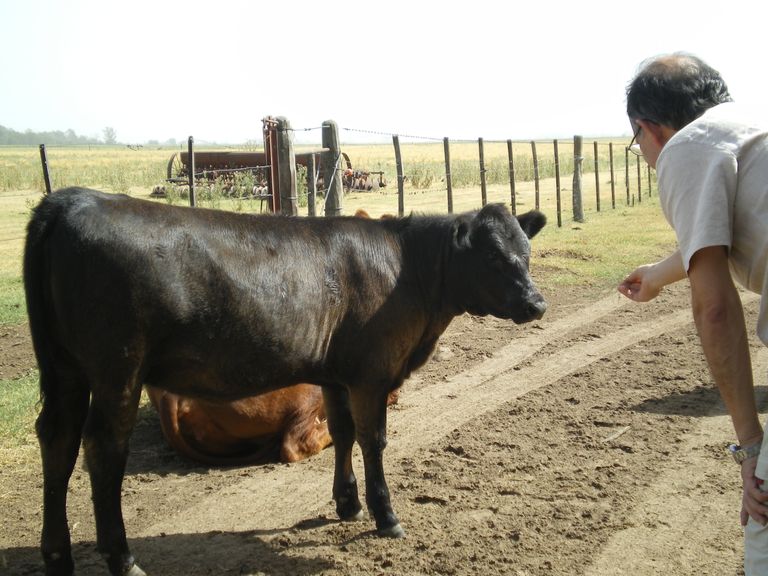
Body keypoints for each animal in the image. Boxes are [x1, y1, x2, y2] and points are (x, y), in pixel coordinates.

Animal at [24, 187, 544, 572]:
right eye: (493, 258)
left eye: (526, 252)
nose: (537, 304)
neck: (408, 270)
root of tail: (73, 198)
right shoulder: (371, 374)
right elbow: (373, 440)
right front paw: (385, 515)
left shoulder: (335, 374)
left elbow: (343, 433)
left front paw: (347, 504)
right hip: (118, 370)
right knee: (103, 449)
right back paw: (122, 558)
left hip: (66, 369)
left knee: (57, 440)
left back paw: (57, 555)